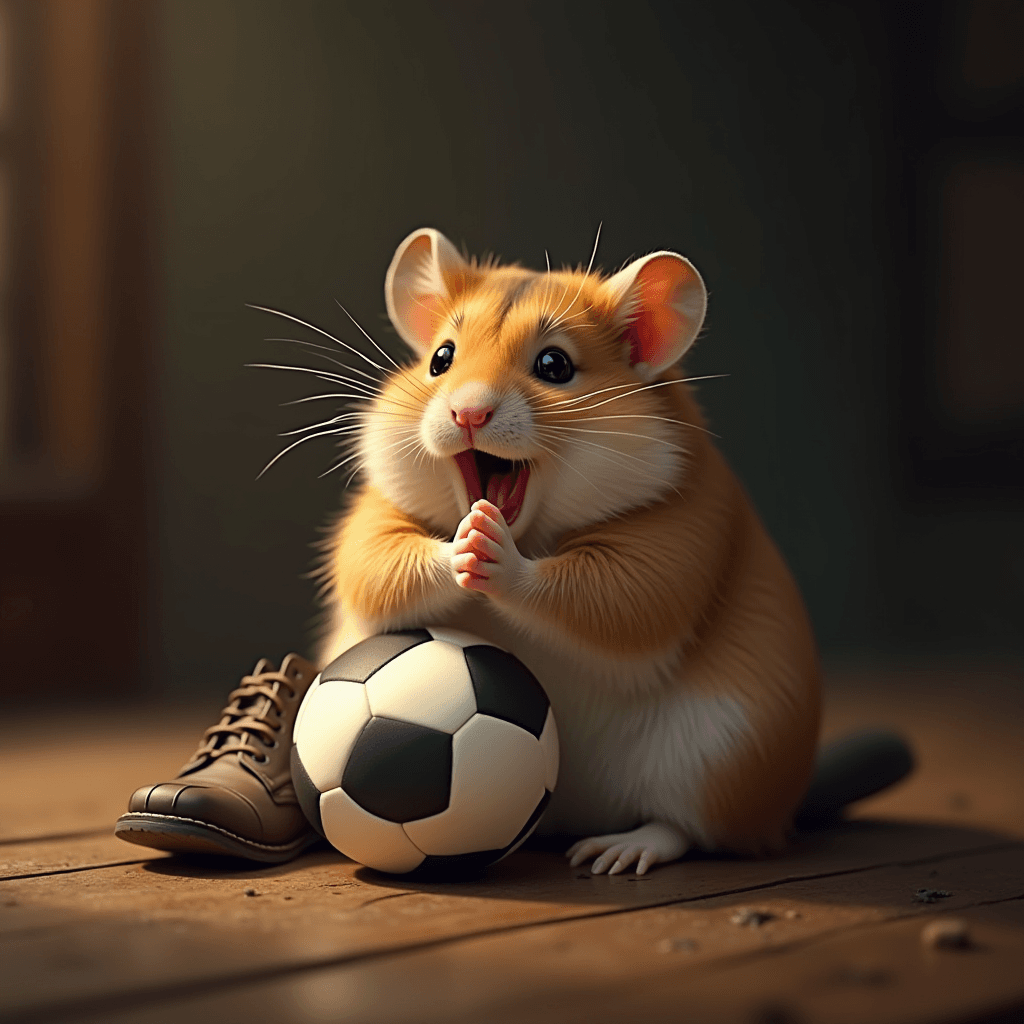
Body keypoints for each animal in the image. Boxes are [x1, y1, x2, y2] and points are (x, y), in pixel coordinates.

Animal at [315, 228, 819, 876]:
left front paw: (489, 546)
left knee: (683, 828)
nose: (467, 412)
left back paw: (615, 853)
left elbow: (601, 597)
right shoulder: (374, 521)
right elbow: (377, 566)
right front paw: (464, 541)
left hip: (722, 756)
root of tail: (575, 815)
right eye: (440, 359)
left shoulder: (674, 543)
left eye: (554, 365)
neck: (533, 530)